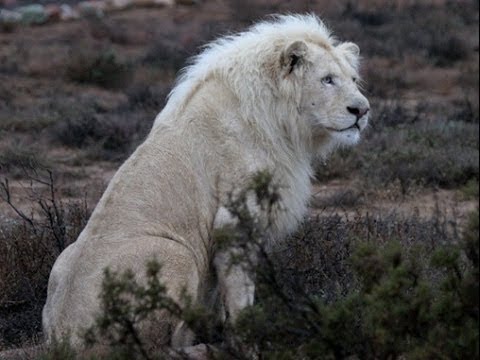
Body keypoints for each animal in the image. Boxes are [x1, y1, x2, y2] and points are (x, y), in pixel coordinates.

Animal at [42, 14, 372, 348]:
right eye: (327, 79)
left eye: (353, 80)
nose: (362, 110)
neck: (281, 120)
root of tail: (65, 336)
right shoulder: (235, 222)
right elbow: (241, 302)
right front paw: (248, 345)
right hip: (177, 252)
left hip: (62, 259)